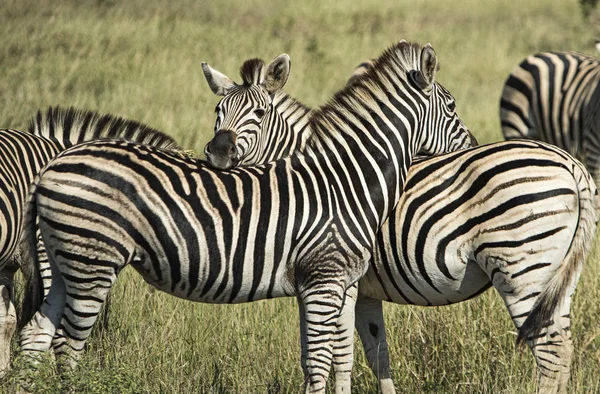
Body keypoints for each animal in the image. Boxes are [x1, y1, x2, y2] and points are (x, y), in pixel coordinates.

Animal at [18, 40, 474, 394]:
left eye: (257, 113)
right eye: (452, 106)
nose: (474, 143)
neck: (346, 178)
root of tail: (53, 163)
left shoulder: (333, 285)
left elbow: (327, 360)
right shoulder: (324, 281)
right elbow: (320, 365)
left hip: (65, 263)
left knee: (37, 332)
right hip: (92, 262)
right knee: (67, 347)